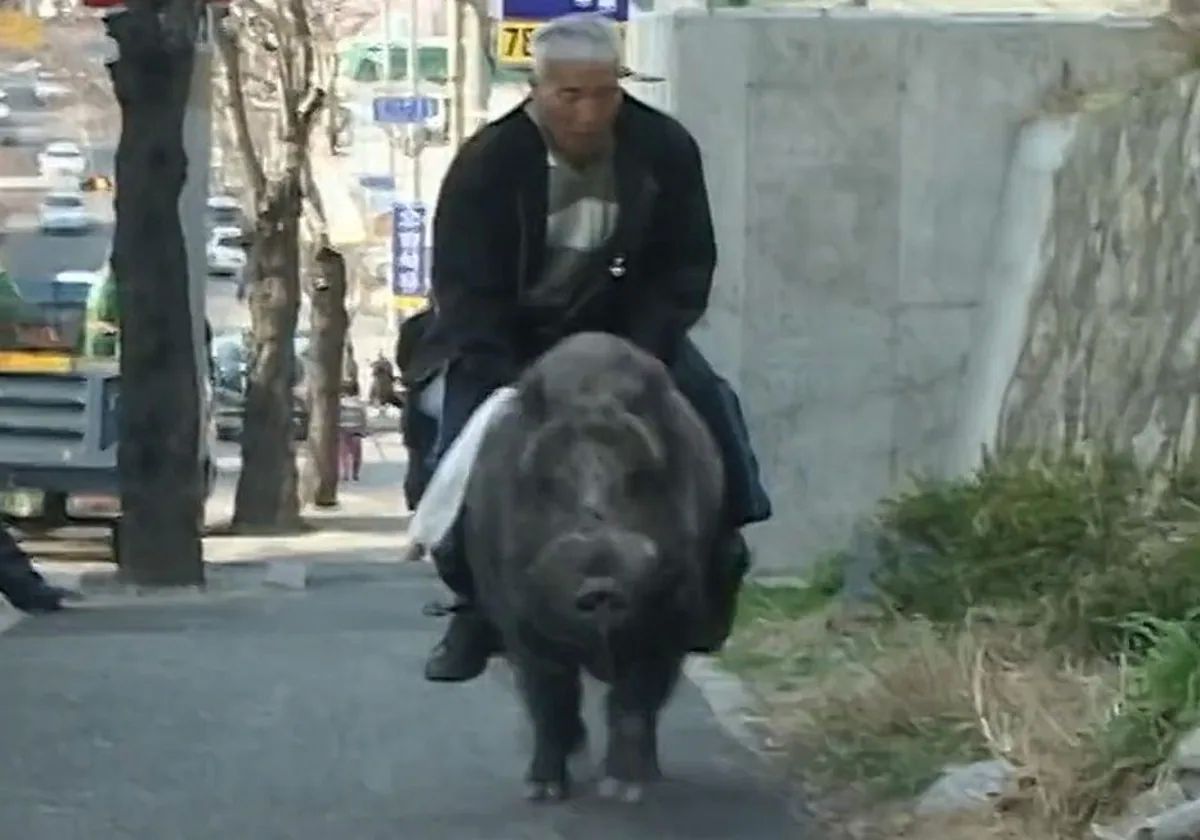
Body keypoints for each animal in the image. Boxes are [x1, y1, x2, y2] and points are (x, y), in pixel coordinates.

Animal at [458, 331, 720, 801]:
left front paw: (624, 789)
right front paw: (542, 791)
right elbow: (549, 696)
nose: (601, 585)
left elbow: (635, 698)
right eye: (548, 483)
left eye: (638, 477)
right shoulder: (516, 616)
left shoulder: (671, 618)